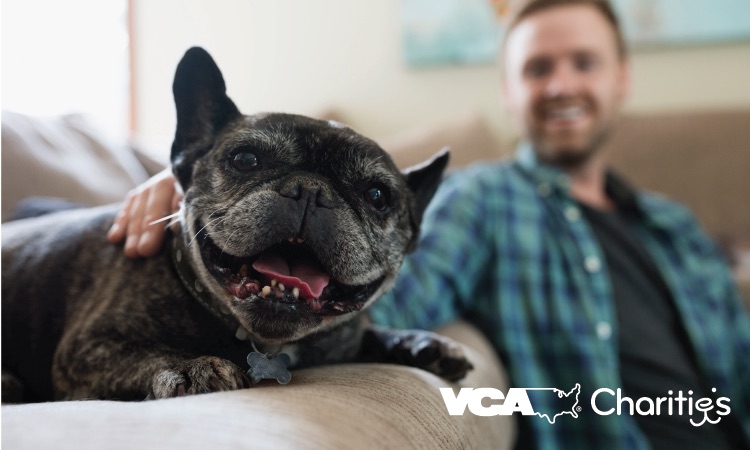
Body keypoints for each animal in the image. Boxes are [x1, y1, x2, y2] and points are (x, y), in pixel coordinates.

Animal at [2, 47, 471, 403]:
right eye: (246, 159)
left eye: (377, 196)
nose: (310, 190)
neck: (263, 342)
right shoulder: (86, 351)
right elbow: (143, 355)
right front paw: (190, 367)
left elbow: (370, 336)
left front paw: (422, 343)